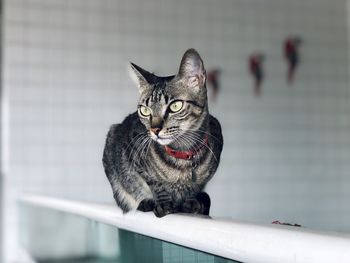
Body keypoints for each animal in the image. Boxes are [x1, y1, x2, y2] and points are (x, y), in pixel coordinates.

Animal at [103, 48, 224, 218]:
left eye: (175, 106)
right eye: (145, 110)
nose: (154, 130)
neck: (182, 155)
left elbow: (196, 188)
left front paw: (191, 201)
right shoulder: (133, 154)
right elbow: (154, 183)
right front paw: (163, 203)